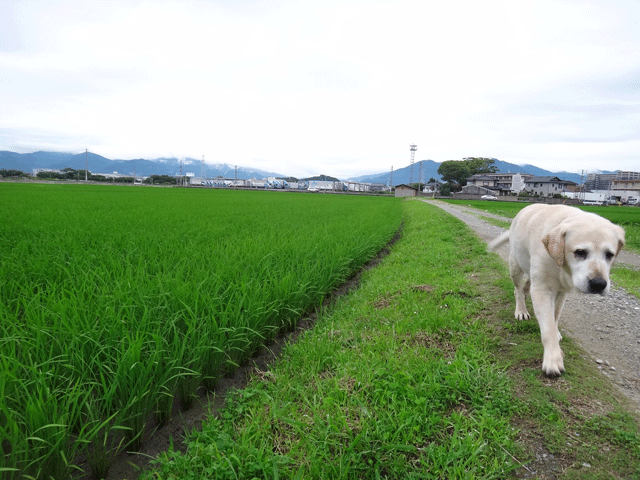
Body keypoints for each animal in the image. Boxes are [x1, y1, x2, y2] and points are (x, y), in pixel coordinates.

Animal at [490, 204, 624, 376]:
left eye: (609, 255)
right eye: (580, 252)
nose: (598, 284)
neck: (561, 264)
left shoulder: (562, 291)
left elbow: (555, 315)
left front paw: (556, 333)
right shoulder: (542, 289)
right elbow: (548, 327)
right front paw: (553, 359)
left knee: (527, 285)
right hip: (515, 265)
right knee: (518, 289)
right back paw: (521, 310)